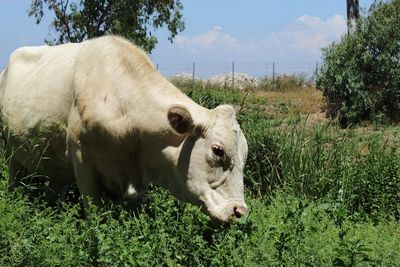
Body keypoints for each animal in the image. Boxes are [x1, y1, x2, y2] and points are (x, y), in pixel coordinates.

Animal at [0, 36, 248, 224]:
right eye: (218, 150)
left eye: (245, 155)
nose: (240, 211)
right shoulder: (81, 159)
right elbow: (94, 213)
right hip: (9, 149)